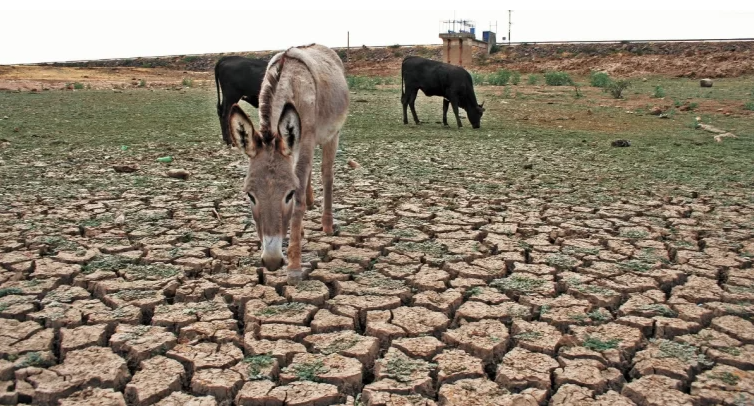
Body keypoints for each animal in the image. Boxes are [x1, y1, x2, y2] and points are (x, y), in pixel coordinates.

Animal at [226, 44, 350, 284]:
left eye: (288, 195)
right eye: (250, 195)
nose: (272, 261)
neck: (289, 82)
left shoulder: (307, 140)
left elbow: (299, 202)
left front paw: (294, 266)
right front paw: (296, 233)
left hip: (333, 134)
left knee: (326, 175)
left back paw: (327, 224)